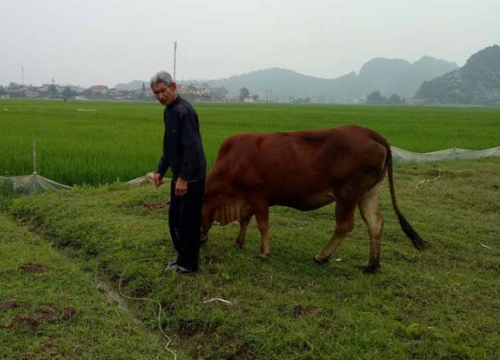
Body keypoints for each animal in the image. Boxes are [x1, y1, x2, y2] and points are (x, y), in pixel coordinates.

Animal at [199, 125, 426, 272]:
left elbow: (262, 225)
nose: (200, 240)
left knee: (344, 226)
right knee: (375, 223)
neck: (232, 161)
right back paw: (372, 265)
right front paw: (239, 242)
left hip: (347, 196)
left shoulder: (258, 197)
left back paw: (321, 257)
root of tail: (370, 133)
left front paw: (264, 252)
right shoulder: (246, 200)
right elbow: (244, 221)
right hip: (368, 194)